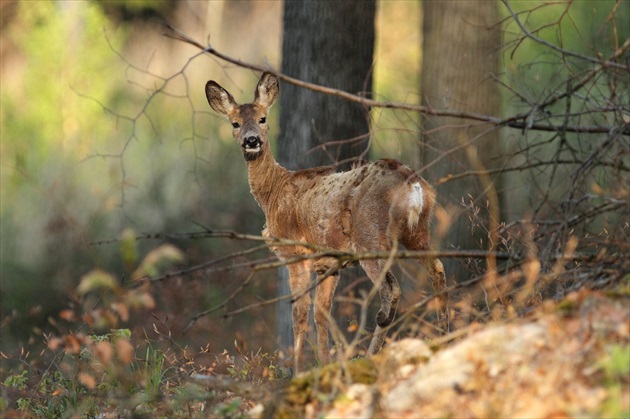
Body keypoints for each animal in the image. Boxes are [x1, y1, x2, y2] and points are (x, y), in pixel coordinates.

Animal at [205, 72, 446, 374]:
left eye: (262, 118)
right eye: (234, 123)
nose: (251, 140)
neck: (272, 193)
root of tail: (413, 184)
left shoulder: (295, 253)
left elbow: (299, 312)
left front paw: (297, 369)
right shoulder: (329, 262)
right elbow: (321, 313)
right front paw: (324, 362)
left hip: (370, 237)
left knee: (391, 290)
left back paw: (372, 354)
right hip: (418, 232)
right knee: (438, 269)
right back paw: (447, 332)